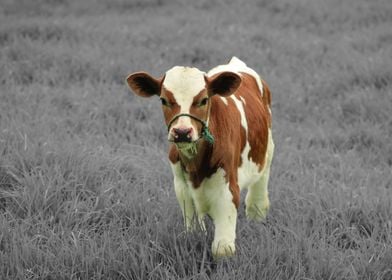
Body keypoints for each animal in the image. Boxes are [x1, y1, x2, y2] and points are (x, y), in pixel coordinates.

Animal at [127, 56, 274, 258]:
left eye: (204, 100)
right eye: (163, 100)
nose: (182, 132)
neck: (196, 164)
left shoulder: (228, 188)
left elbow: (222, 249)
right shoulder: (181, 185)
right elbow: (193, 230)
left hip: (267, 151)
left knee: (260, 187)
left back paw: (257, 215)